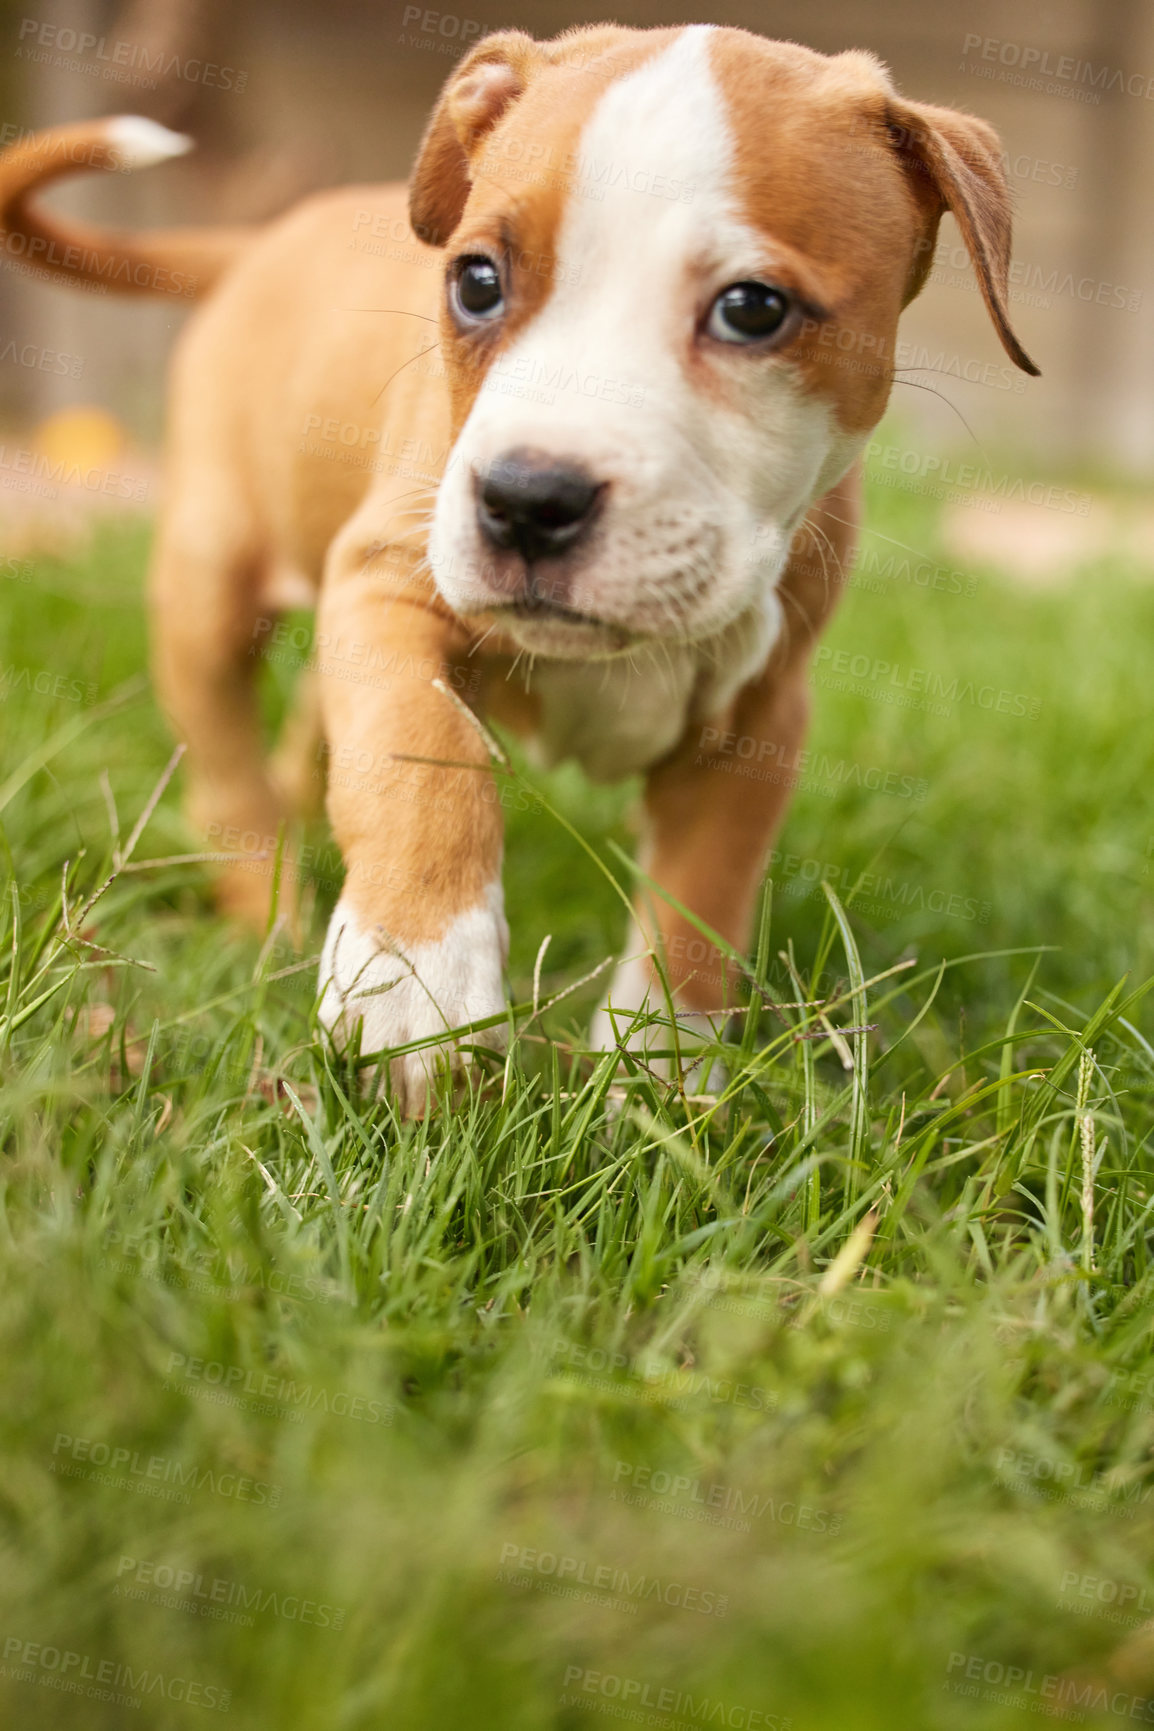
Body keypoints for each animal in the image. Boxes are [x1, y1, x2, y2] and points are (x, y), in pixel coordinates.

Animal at [0, 27, 1045, 1107]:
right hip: (207, 588)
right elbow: (419, 756)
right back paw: (273, 918)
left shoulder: (757, 720)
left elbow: (701, 900)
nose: (529, 500)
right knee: (231, 777)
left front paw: (659, 1080)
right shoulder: (387, 581)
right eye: (477, 281)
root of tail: (262, 242)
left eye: (754, 310)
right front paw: (414, 988)